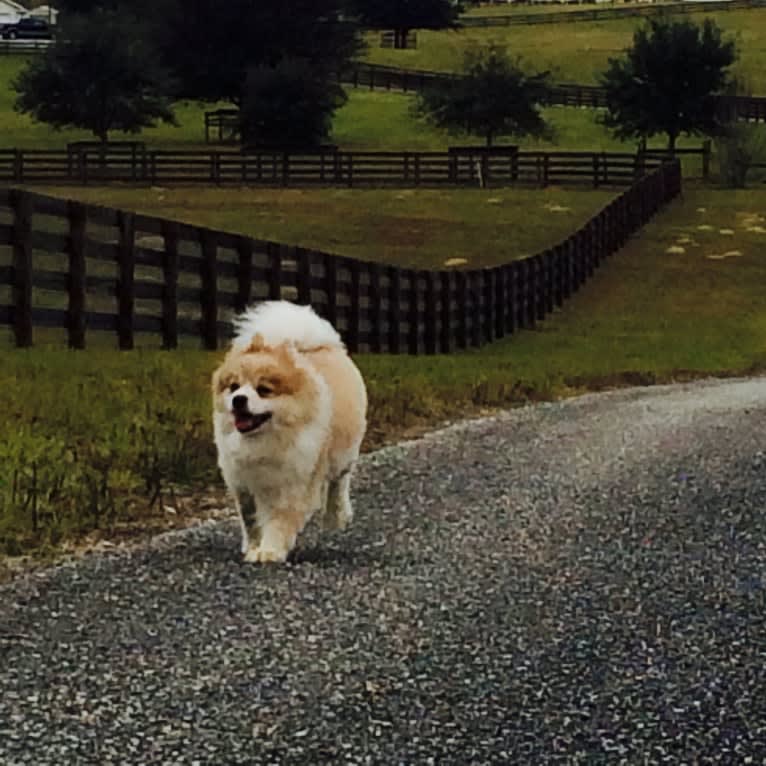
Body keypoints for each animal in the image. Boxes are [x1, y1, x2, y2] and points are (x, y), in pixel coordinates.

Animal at [210, 302, 366, 564]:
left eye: (264, 390)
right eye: (233, 387)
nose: (238, 399)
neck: (266, 440)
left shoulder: (295, 483)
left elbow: (279, 521)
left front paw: (270, 550)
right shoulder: (243, 483)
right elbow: (250, 520)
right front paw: (253, 548)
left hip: (343, 453)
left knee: (339, 482)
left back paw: (335, 516)